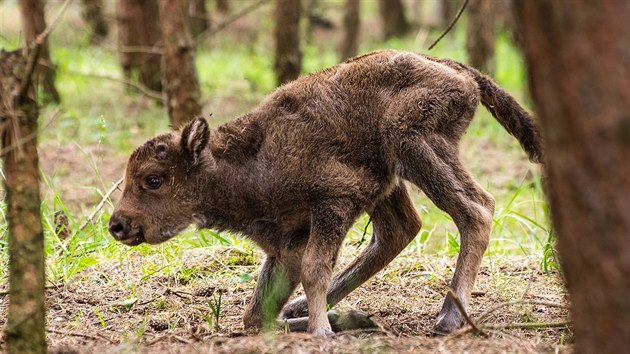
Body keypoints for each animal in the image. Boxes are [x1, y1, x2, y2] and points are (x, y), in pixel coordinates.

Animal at [108, 49, 544, 334]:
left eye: (153, 179)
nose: (117, 225)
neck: (246, 159)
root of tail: (455, 69)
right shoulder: (286, 247)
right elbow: (259, 313)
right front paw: (330, 320)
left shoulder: (334, 202)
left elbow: (315, 268)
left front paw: (322, 332)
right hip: (389, 181)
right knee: (400, 230)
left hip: (413, 146)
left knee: (476, 210)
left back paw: (448, 319)